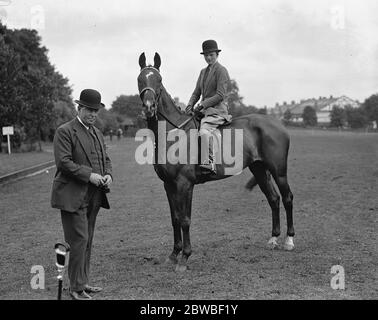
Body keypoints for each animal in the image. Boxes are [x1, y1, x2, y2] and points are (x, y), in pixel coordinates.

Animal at [137, 52, 294, 270]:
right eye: (140, 79)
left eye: (159, 80)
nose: (149, 107)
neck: (173, 134)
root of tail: (277, 123)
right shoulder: (168, 185)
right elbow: (175, 219)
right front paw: (174, 254)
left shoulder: (184, 184)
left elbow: (185, 219)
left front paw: (184, 258)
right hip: (259, 169)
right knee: (273, 199)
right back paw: (273, 240)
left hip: (278, 171)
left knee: (287, 198)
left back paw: (289, 241)